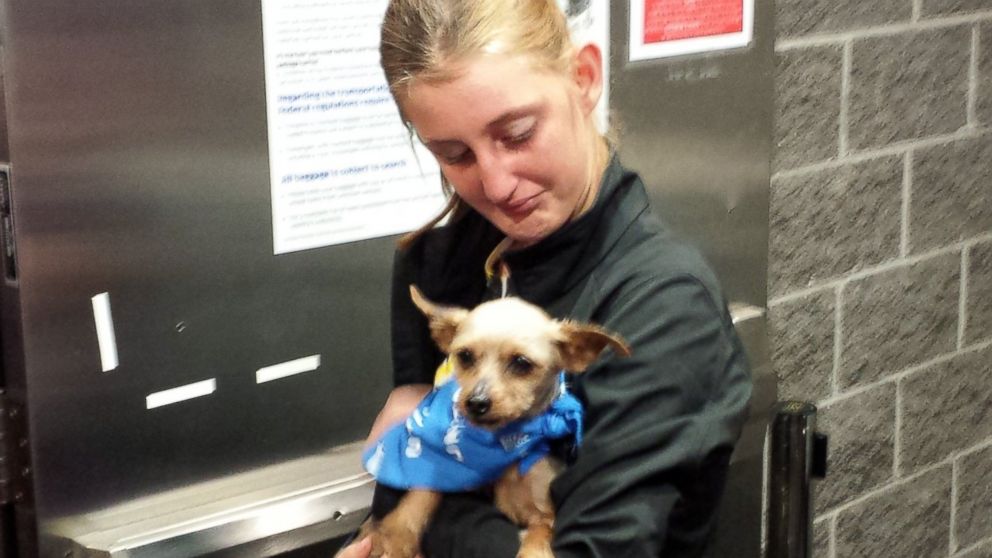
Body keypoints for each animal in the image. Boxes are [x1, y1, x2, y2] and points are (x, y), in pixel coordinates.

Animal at [360, 288, 632, 558]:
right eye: (465, 356)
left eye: (522, 363)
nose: (476, 402)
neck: (500, 445)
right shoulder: (451, 473)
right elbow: (422, 493)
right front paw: (396, 537)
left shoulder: (543, 514)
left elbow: (538, 537)